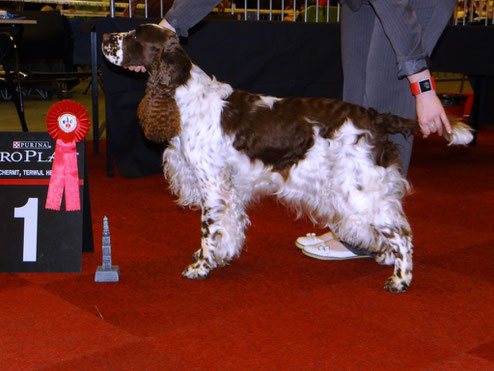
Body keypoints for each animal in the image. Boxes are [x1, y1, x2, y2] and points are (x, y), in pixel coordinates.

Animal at [102, 24, 472, 294]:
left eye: (134, 36)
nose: (104, 36)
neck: (182, 96)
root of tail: (375, 116)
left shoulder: (212, 186)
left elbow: (209, 231)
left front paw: (200, 267)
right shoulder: (228, 189)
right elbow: (229, 227)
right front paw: (222, 257)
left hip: (359, 190)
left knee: (402, 233)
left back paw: (400, 279)